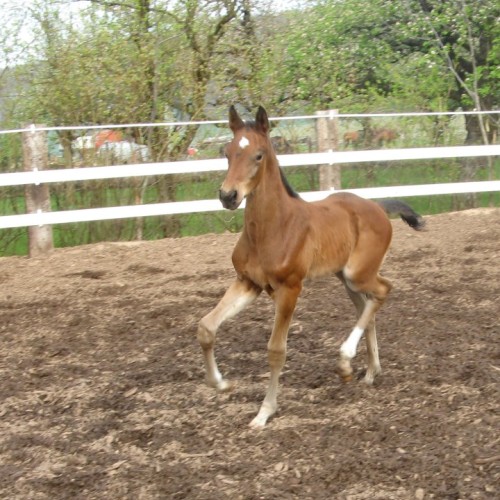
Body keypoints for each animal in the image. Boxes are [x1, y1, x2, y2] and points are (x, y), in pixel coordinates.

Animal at [197, 106, 424, 430]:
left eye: (258, 155)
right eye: (226, 153)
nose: (228, 196)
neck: (272, 227)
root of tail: (378, 207)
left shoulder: (290, 288)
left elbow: (276, 350)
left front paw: (264, 412)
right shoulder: (247, 283)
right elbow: (206, 327)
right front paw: (221, 383)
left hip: (358, 274)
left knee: (384, 290)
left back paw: (345, 359)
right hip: (346, 278)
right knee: (366, 307)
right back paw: (367, 371)